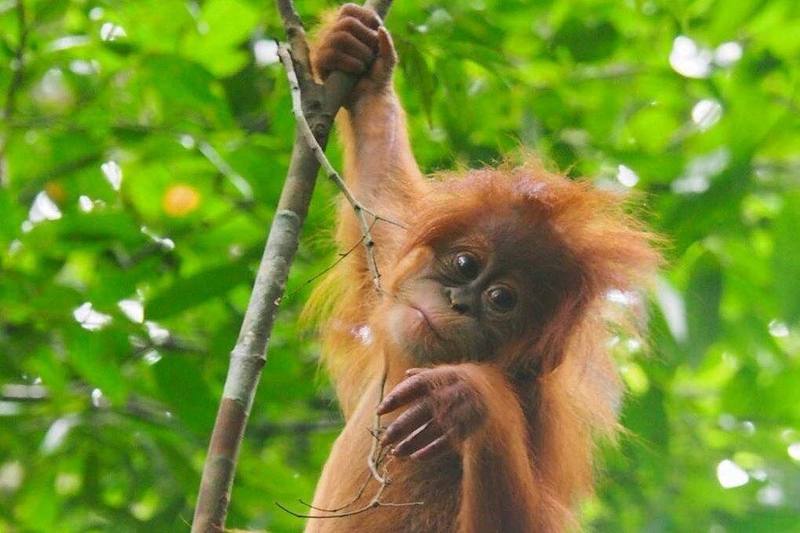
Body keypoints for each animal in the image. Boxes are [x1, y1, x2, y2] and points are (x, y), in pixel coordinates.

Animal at [300, 4, 661, 532]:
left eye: (501, 299)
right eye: (465, 264)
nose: (459, 301)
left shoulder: (534, 411)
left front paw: (471, 398)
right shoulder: (394, 254)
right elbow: (381, 188)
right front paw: (360, 58)